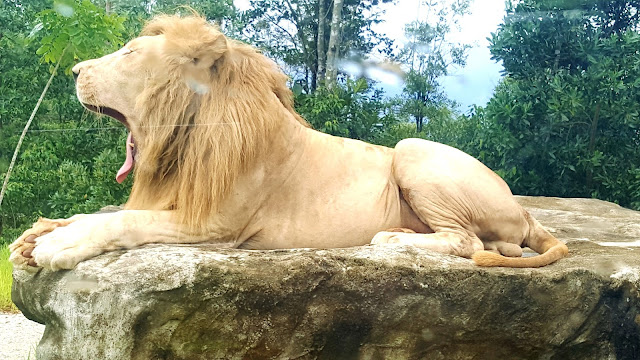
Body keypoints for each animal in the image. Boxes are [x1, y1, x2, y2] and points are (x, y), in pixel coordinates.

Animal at [8, 14, 568, 272]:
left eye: (128, 53)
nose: (74, 70)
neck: (183, 139)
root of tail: (526, 212)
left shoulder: (217, 225)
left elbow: (124, 221)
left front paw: (57, 245)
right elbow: (100, 215)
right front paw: (39, 233)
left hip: (413, 148)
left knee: (466, 241)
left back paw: (392, 239)